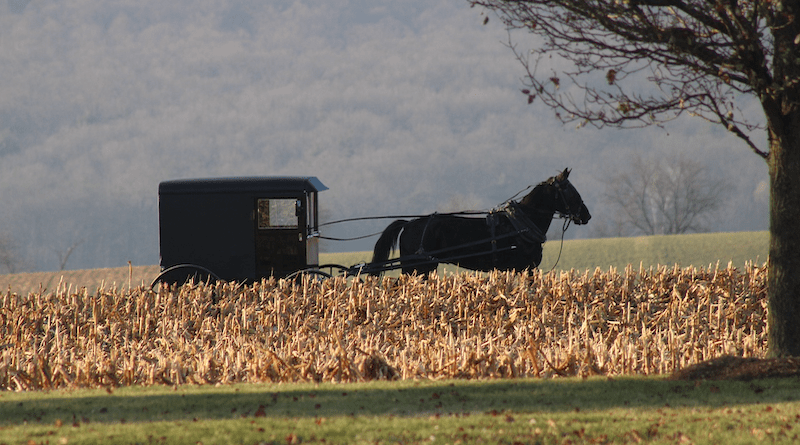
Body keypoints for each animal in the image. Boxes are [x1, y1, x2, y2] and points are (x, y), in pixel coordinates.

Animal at [368, 168, 588, 274]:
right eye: (570, 190)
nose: (586, 215)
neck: (521, 224)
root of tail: (408, 224)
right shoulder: (524, 268)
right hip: (416, 268)